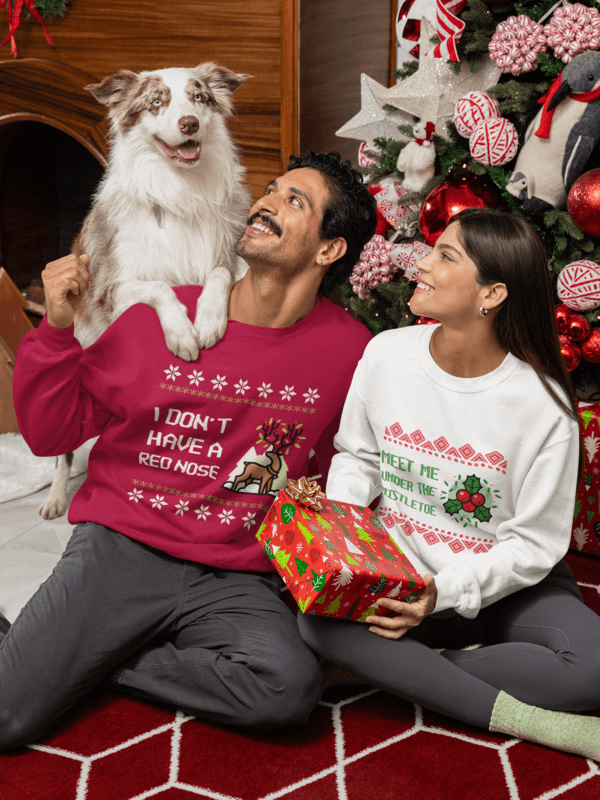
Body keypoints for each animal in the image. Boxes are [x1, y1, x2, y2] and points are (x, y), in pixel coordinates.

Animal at [38, 65, 251, 520]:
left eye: (199, 98)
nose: (188, 124)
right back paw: (56, 497)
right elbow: (160, 287)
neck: (179, 189)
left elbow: (219, 275)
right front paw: (183, 335)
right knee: (64, 447)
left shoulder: (230, 258)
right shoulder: (109, 289)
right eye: (157, 102)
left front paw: (209, 320)